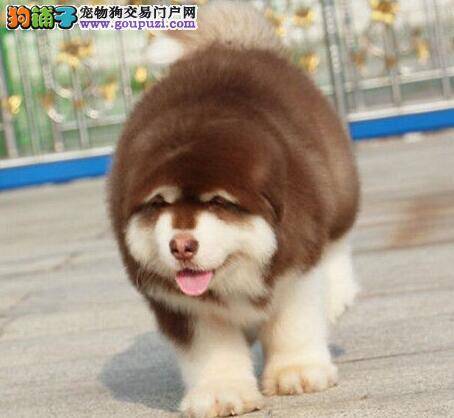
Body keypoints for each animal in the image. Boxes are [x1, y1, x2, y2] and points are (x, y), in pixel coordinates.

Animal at [108, 1, 360, 416]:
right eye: (160, 203)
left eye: (218, 203)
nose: (181, 245)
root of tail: (233, 41)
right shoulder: (178, 302)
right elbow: (210, 348)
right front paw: (221, 392)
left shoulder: (296, 265)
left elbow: (294, 321)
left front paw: (297, 372)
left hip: (339, 186)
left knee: (337, 242)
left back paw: (337, 296)